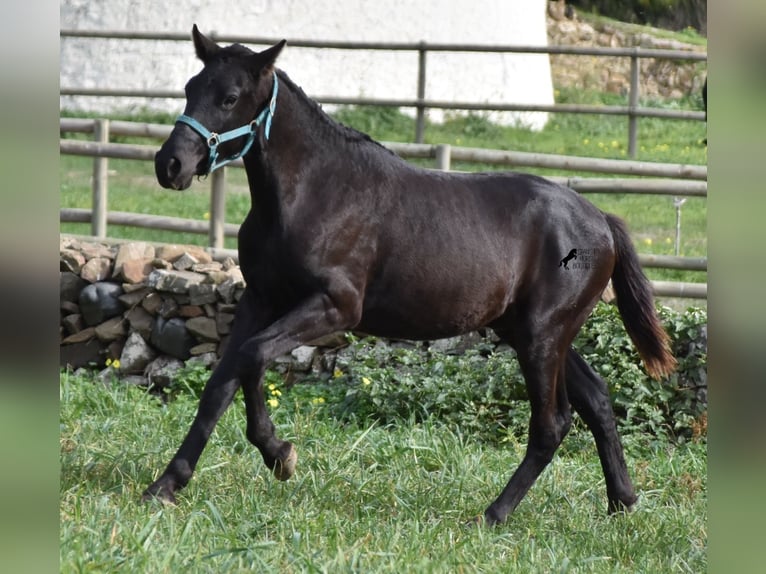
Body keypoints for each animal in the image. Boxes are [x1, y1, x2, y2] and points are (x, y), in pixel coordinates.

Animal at [147, 28, 676, 532]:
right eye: (190, 87)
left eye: (230, 97)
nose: (170, 165)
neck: (315, 192)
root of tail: (602, 220)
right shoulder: (260, 299)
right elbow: (220, 383)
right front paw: (167, 485)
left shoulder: (335, 306)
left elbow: (253, 358)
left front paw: (280, 455)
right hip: (535, 332)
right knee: (597, 399)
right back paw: (622, 502)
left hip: (541, 336)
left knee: (552, 423)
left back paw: (493, 515)